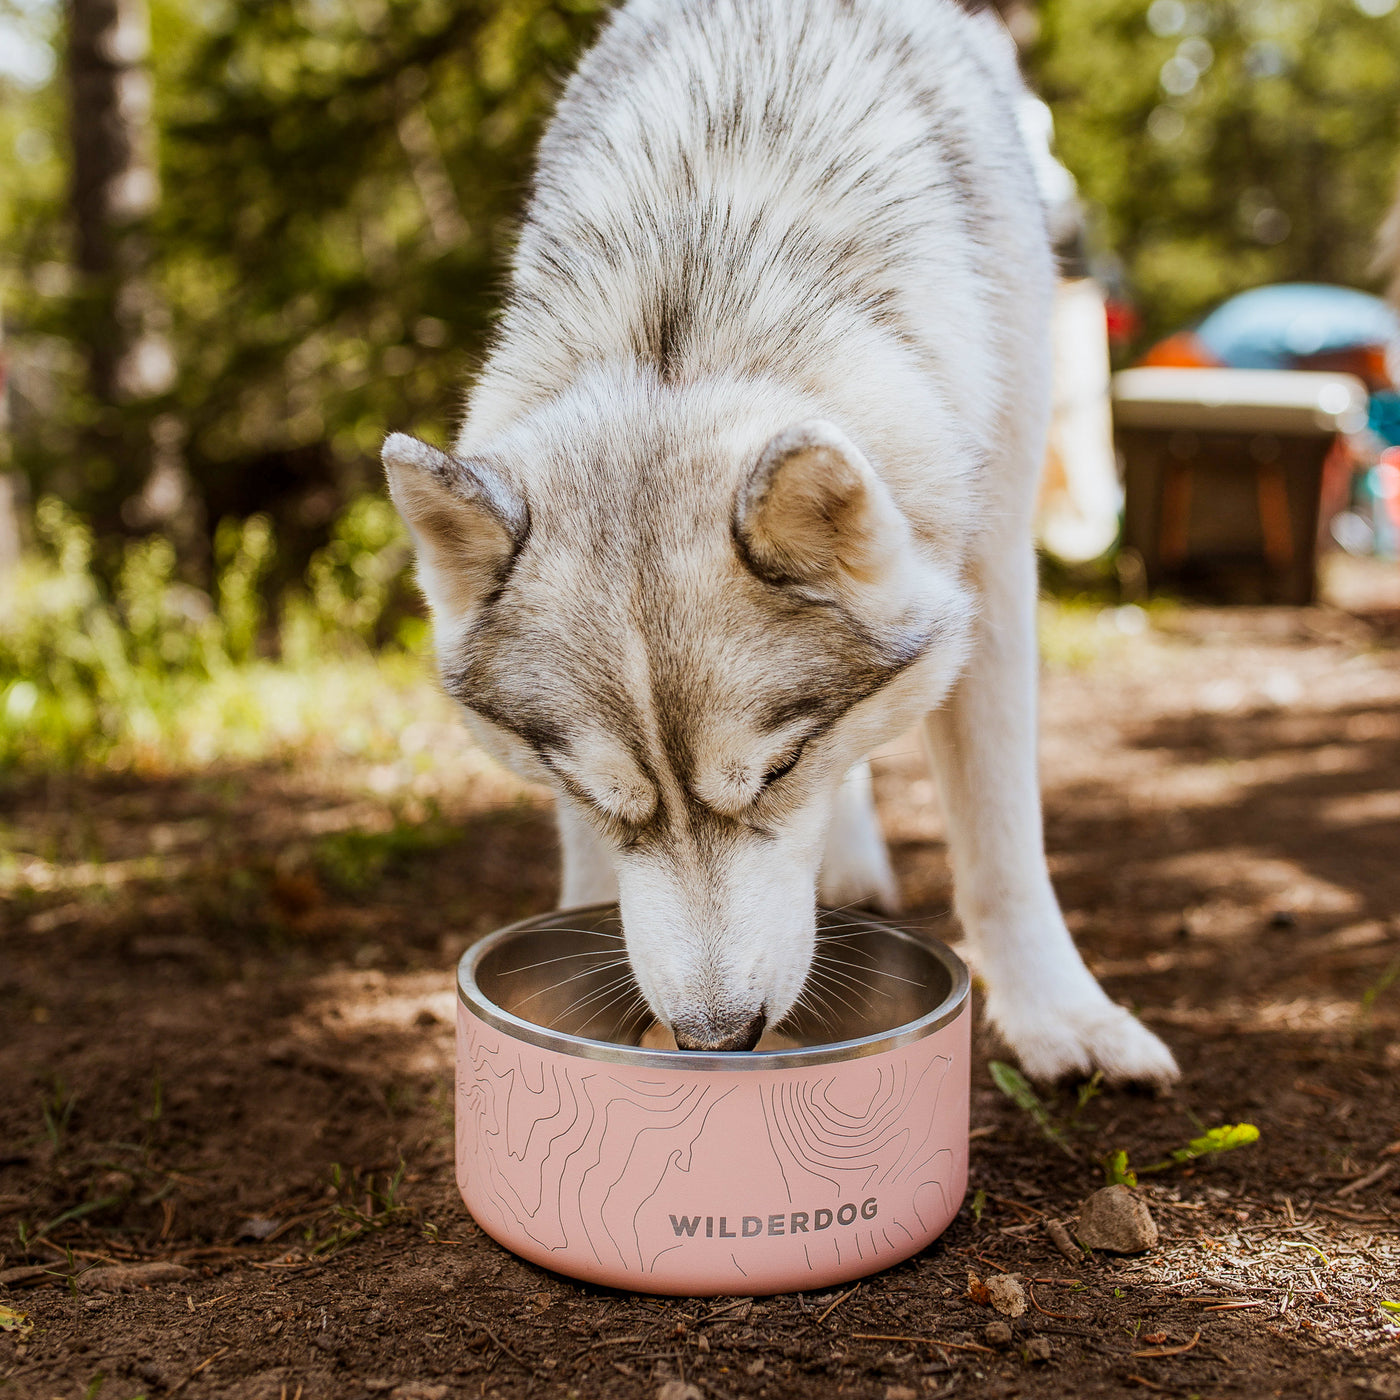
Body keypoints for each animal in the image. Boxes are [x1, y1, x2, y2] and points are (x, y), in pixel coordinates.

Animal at [383, 0, 1181, 1080]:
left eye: (775, 770)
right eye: (599, 793)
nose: (717, 1038)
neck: (685, 303)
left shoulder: (992, 576)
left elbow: (1001, 842)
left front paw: (1062, 1014)